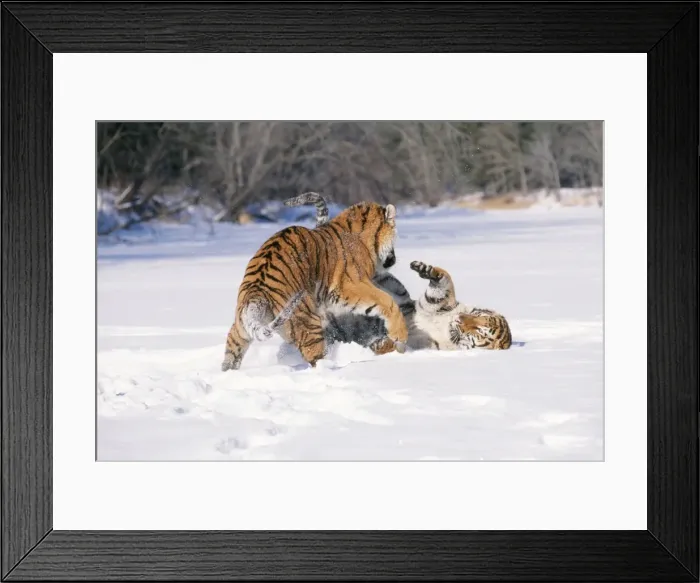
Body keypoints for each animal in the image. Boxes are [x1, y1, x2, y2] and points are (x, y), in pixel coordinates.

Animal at [221, 194, 408, 371]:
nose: (393, 260)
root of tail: (256, 293)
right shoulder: (351, 285)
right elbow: (387, 301)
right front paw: (400, 336)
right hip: (308, 323)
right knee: (316, 357)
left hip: (241, 328)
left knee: (232, 348)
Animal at [285, 193, 512, 352]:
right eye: (478, 316)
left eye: (479, 331)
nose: (461, 319)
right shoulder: (433, 303)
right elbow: (445, 280)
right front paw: (425, 268)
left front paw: (380, 344)